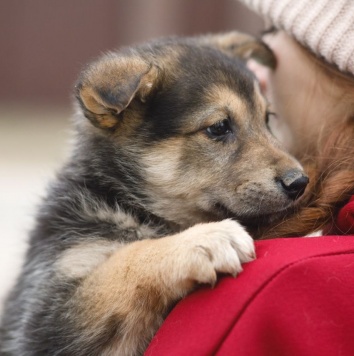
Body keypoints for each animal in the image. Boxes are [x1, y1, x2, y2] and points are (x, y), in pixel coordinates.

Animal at [0, 32, 308, 354]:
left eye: (267, 118)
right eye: (219, 127)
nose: (299, 182)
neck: (127, 202)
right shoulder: (43, 318)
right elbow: (127, 260)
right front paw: (204, 240)